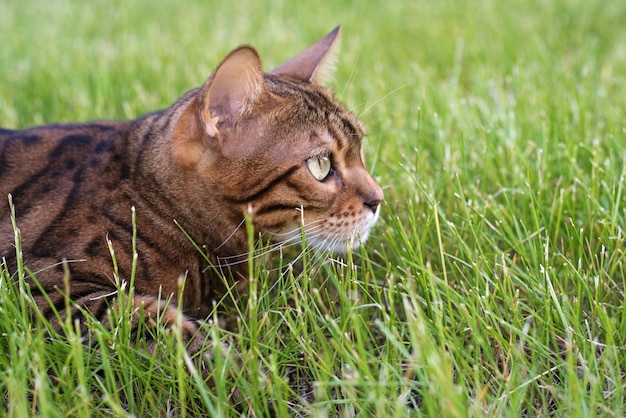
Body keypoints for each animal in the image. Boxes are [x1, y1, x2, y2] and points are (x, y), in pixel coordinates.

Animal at [0, 26, 382, 360]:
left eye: (360, 149)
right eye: (320, 165)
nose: (378, 199)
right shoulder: (42, 289)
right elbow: (164, 330)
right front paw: (235, 373)